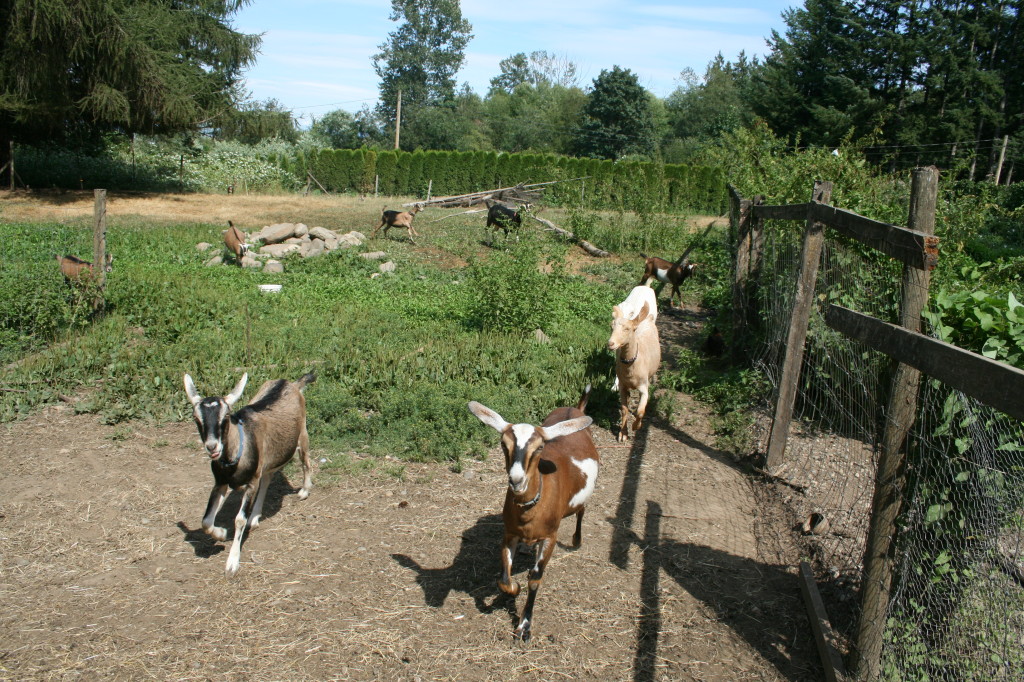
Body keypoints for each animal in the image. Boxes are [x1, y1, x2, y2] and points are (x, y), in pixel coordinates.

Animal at [183, 371, 315, 577]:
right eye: (196, 418)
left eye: (226, 416)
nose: (212, 447)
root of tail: (292, 383)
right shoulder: (220, 483)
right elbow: (205, 520)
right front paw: (221, 533)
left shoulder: (251, 483)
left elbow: (239, 520)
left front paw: (232, 563)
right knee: (267, 478)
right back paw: (255, 517)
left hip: (302, 433)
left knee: (306, 460)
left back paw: (304, 491)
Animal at [467, 385, 599, 642]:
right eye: (503, 444)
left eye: (539, 448)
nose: (516, 480)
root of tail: (575, 409)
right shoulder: (509, 534)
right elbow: (504, 579)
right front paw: (513, 590)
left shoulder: (550, 537)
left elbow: (535, 578)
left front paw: (524, 626)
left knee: (581, 511)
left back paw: (577, 540)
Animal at [608, 287, 661, 442]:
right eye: (612, 326)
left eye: (627, 329)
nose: (611, 343)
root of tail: (648, 319)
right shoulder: (623, 385)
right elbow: (624, 409)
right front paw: (623, 433)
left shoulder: (643, 387)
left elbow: (640, 411)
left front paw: (635, 427)